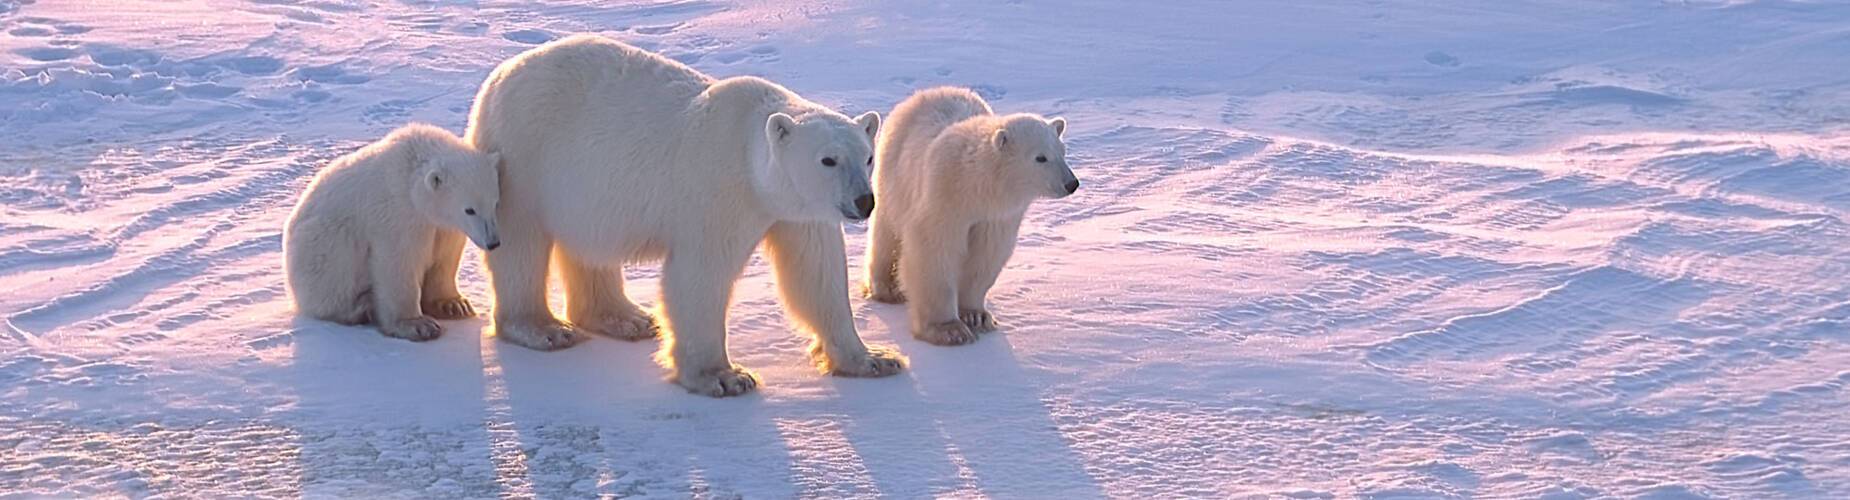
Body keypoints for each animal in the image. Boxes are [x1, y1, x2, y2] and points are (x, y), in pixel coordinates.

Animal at [284, 123, 502, 341]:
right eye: (470, 210)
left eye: (495, 203)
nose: (493, 242)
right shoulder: (397, 213)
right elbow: (397, 261)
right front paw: (417, 324)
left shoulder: (443, 226)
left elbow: (445, 256)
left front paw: (454, 304)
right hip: (320, 244)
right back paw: (361, 307)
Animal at [464, 35, 905, 397]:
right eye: (828, 160)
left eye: (867, 156)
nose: (864, 202)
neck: (749, 154)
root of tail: (499, 75)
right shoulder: (719, 191)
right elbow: (700, 275)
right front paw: (723, 377)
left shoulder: (798, 211)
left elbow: (816, 274)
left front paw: (874, 359)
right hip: (524, 156)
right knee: (522, 245)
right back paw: (544, 329)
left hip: (582, 187)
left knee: (590, 246)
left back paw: (626, 319)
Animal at [863, 87, 1078, 346]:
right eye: (1040, 157)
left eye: (1062, 152)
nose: (1071, 183)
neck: (976, 185)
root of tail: (927, 92)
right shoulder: (944, 197)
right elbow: (933, 250)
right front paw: (948, 329)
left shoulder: (996, 216)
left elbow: (985, 255)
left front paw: (976, 316)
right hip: (894, 171)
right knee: (886, 229)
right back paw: (885, 288)